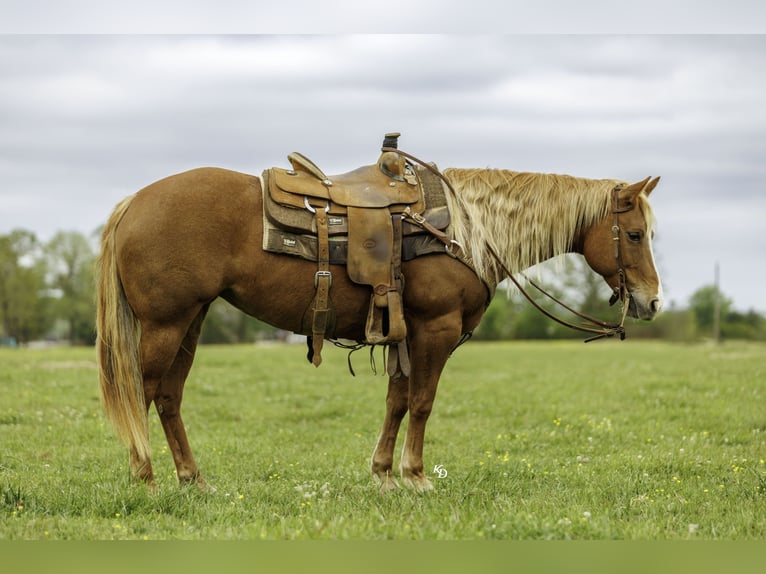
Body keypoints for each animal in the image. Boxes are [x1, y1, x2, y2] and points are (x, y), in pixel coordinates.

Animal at [96, 159, 662, 493]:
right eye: (635, 234)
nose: (652, 301)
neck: (464, 228)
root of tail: (133, 203)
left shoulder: (403, 335)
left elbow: (396, 401)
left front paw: (385, 475)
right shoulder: (436, 329)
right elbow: (422, 402)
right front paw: (416, 476)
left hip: (190, 322)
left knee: (168, 397)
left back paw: (191, 479)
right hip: (165, 323)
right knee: (141, 391)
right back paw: (145, 477)